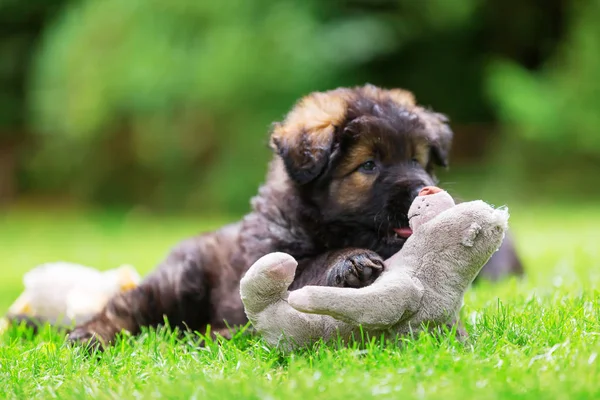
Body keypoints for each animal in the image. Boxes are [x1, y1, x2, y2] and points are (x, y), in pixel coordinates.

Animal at [65, 84, 520, 346]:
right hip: (179, 284)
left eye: (416, 159)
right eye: (369, 165)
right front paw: (352, 262)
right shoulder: (269, 257)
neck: (322, 224)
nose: (425, 189)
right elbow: (308, 266)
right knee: (127, 307)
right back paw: (89, 336)